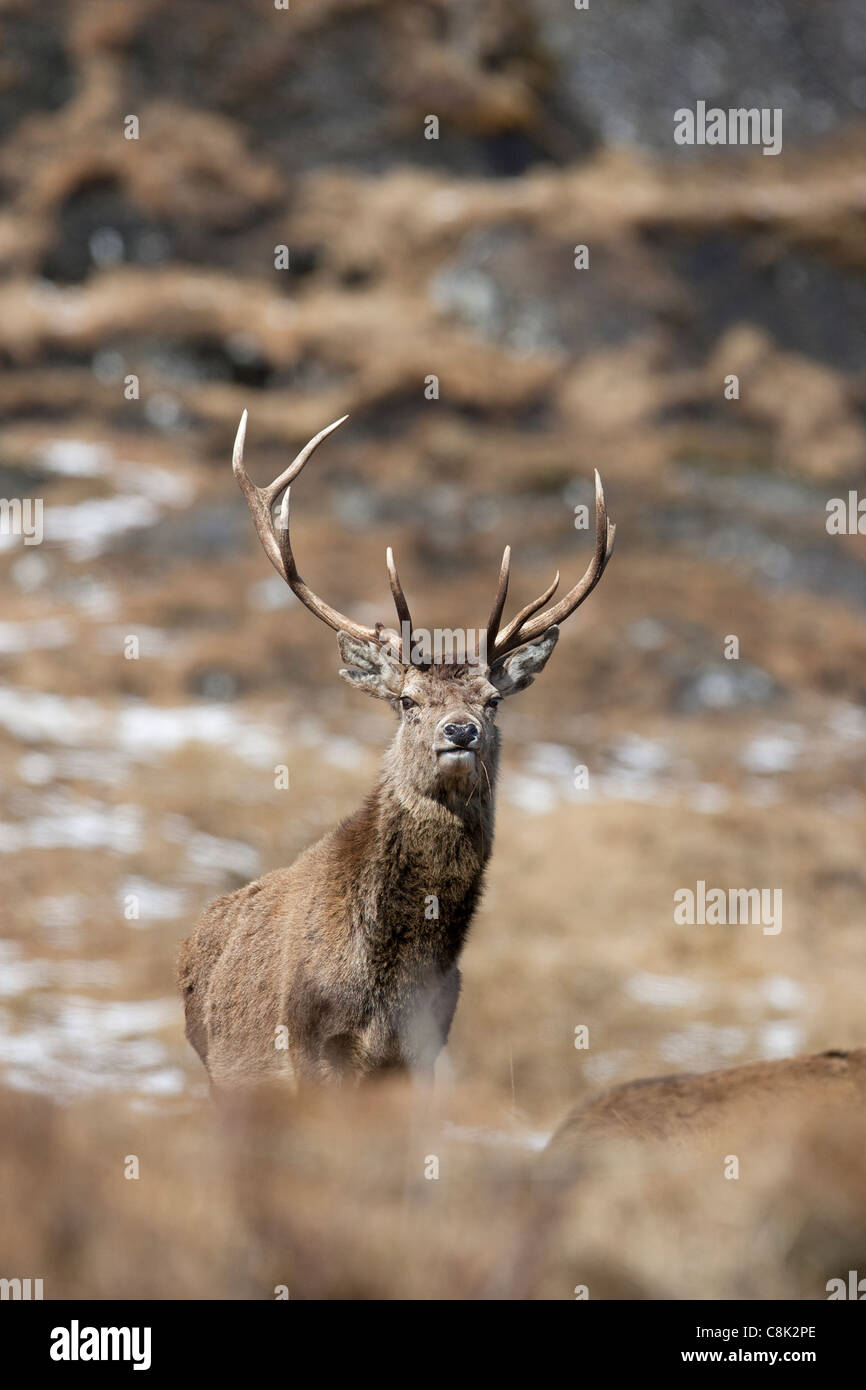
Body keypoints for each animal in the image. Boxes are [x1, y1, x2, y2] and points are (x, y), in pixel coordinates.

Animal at [177, 411, 615, 1090]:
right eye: (408, 700)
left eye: (493, 699)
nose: (460, 731)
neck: (389, 985)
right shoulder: (308, 1044)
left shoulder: (424, 1052)